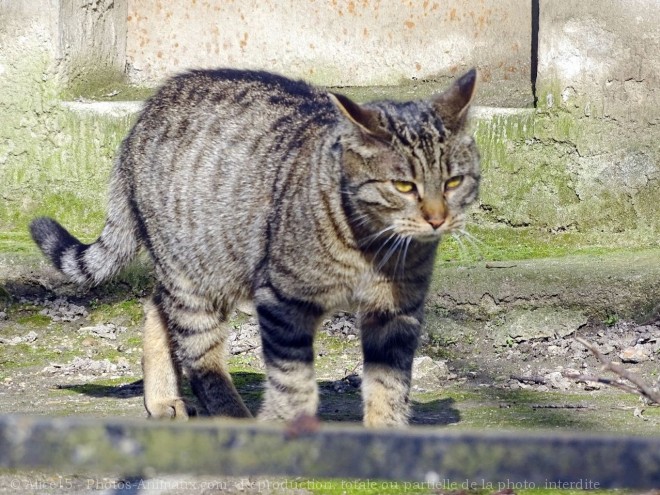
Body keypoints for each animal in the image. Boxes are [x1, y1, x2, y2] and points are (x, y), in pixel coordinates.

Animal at [31, 68, 480, 428]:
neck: (373, 246)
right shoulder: (283, 302)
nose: (437, 218)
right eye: (403, 186)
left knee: (155, 307)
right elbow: (292, 380)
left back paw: (162, 399)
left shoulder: (397, 310)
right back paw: (231, 416)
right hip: (196, 273)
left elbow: (390, 384)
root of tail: (150, 107)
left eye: (454, 181)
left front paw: (385, 436)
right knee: (198, 352)